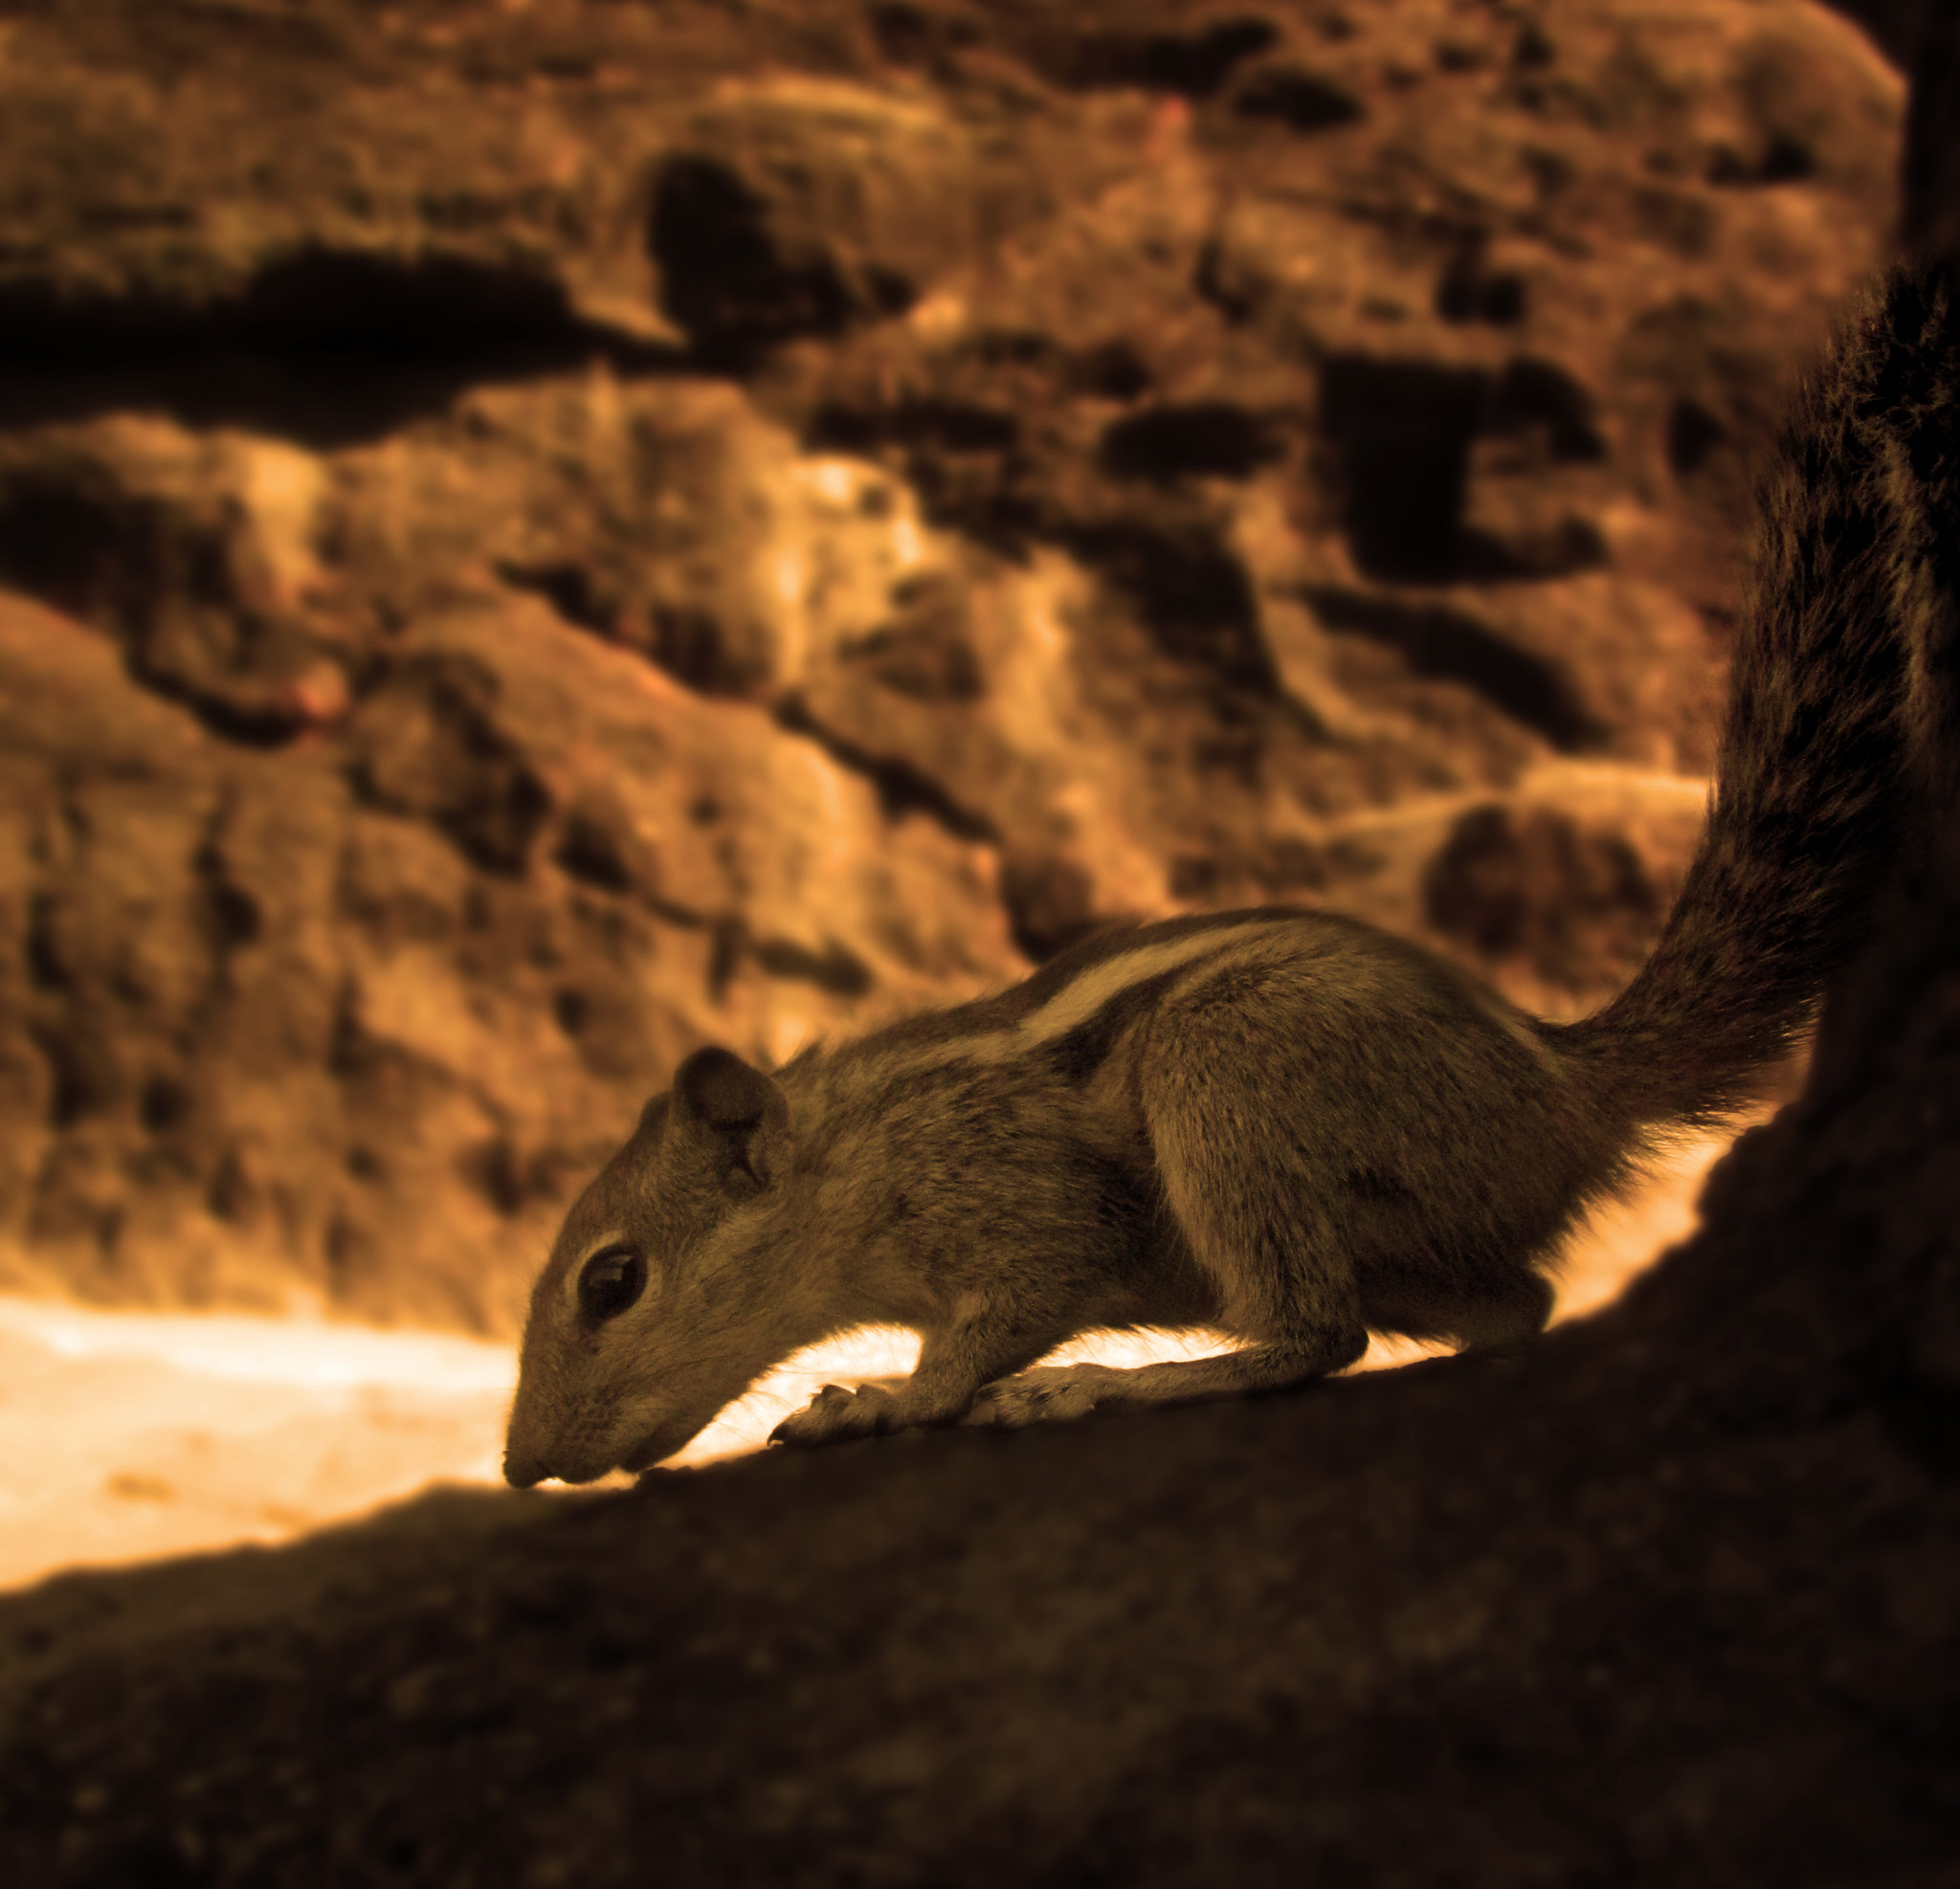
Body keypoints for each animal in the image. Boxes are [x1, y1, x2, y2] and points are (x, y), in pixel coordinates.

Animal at [505, 255, 1960, 1489]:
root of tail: (1564, 1082)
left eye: (611, 1281)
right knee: (1513, 1306)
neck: (861, 1149)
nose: (520, 1466)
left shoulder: (1022, 1213)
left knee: (1317, 1333)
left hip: (1230, 1072)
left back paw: (1122, 1384)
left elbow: (989, 1330)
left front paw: (886, 1398)